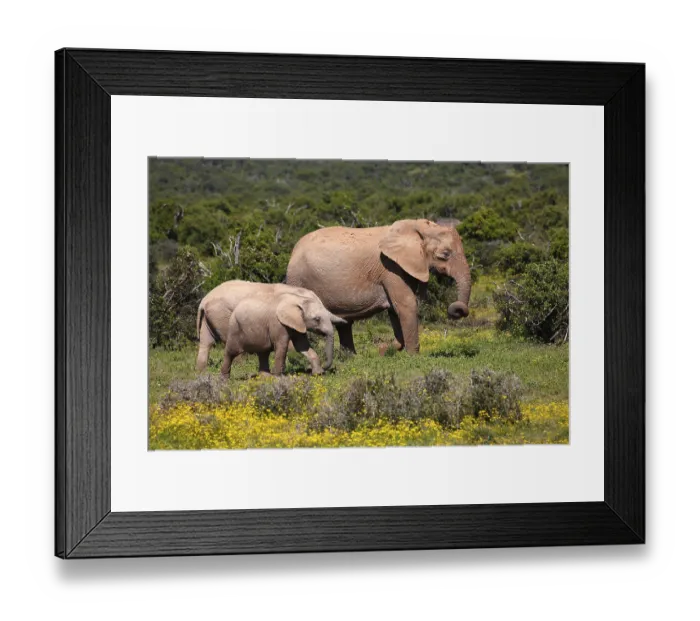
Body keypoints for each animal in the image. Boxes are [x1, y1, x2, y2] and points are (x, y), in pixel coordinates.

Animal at [196, 281, 346, 377]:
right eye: (316, 319)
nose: (308, 370)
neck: (295, 293)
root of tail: (204, 300)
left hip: (209, 318)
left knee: (206, 343)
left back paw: (202, 373)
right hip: (222, 315)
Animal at [286, 219, 471, 354]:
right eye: (445, 255)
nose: (456, 310)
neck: (416, 227)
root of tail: (293, 251)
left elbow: (395, 310)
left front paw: (387, 349)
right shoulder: (390, 268)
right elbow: (406, 304)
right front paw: (412, 356)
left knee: (344, 322)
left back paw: (350, 358)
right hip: (299, 279)